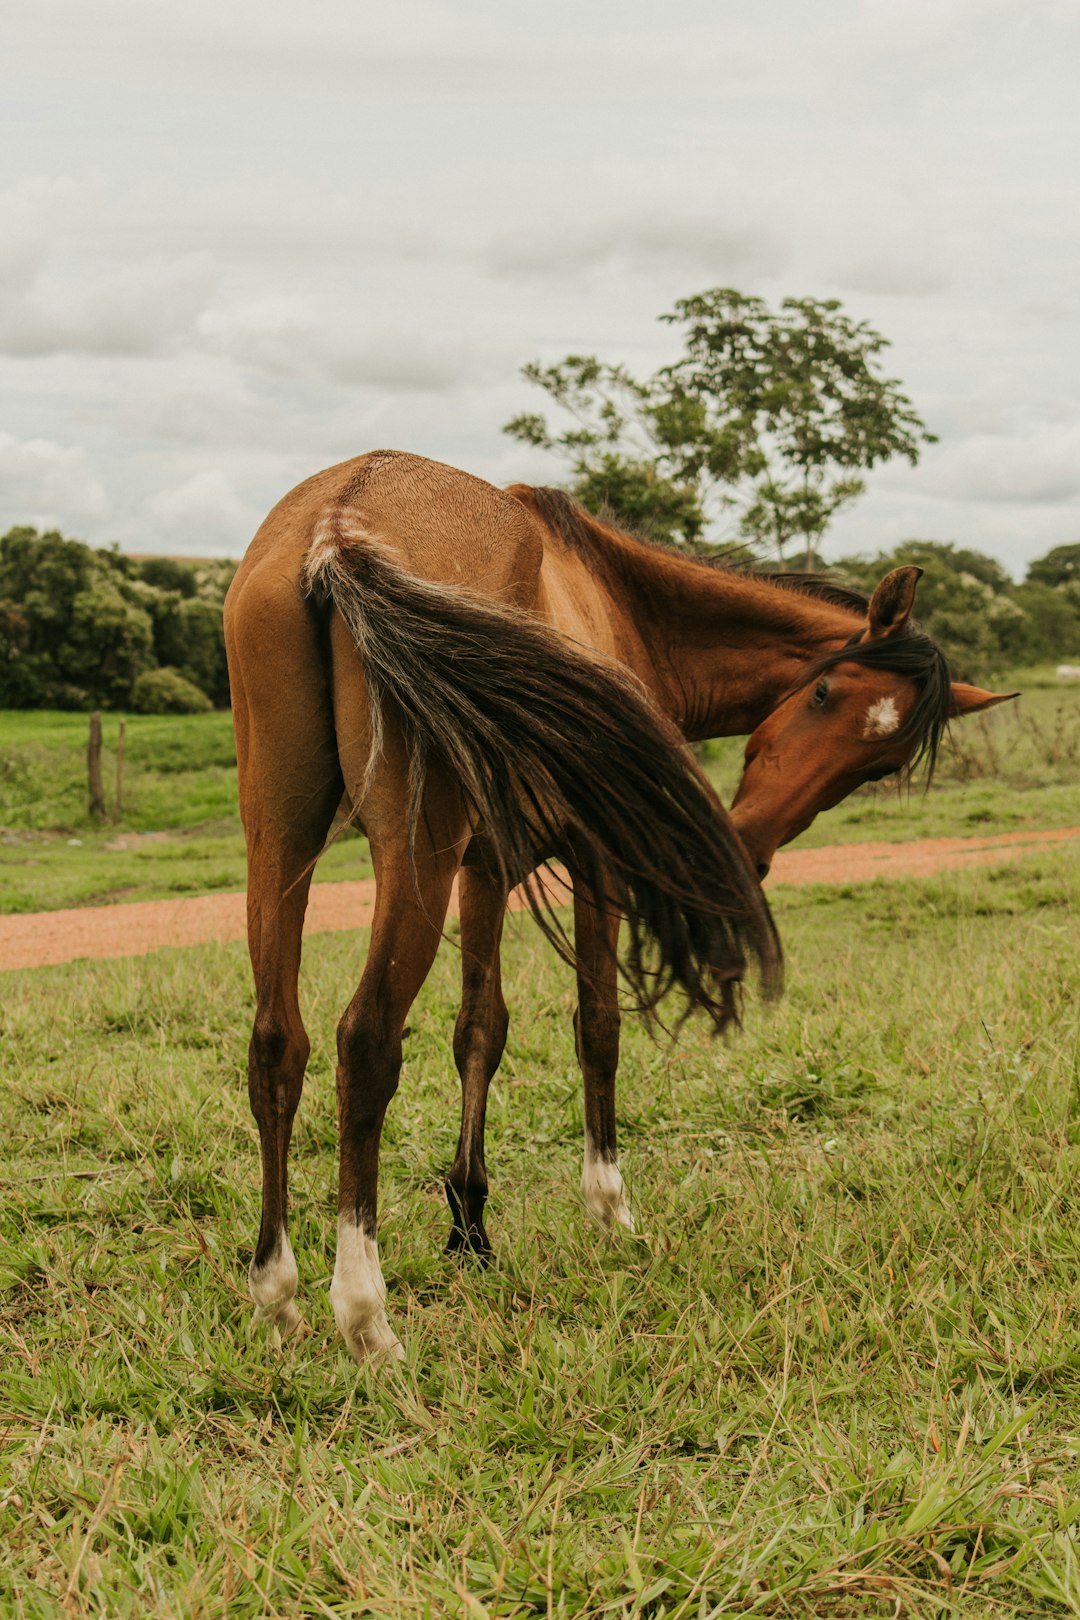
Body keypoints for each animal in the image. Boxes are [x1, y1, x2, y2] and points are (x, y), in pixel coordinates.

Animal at [223, 450, 1010, 1360]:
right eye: (821, 695)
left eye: (877, 762)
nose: (753, 841)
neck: (613, 594)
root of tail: (337, 524)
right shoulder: (589, 859)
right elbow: (597, 1026)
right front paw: (608, 1210)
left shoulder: (484, 868)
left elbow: (480, 1030)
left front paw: (470, 1229)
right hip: (409, 854)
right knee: (367, 1042)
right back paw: (365, 1315)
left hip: (279, 841)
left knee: (276, 1045)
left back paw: (276, 1294)